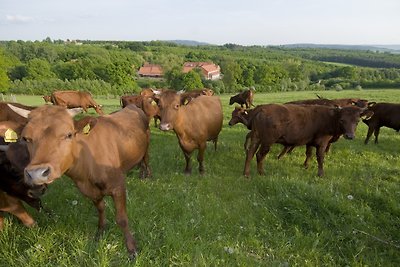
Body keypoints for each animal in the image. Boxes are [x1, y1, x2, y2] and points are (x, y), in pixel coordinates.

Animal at [10, 104, 153, 260]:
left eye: (69, 134)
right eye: (26, 138)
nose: (36, 173)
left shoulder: (118, 186)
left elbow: (121, 219)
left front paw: (132, 249)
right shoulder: (90, 191)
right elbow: (101, 208)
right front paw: (100, 232)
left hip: (146, 147)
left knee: (145, 161)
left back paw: (146, 175)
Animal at [244, 104, 372, 178]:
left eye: (357, 121)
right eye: (342, 120)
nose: (350, 136)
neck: (330, 118)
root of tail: (261, 108)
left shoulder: (310, 141)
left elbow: (309, 153)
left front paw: (306, 166)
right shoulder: (322, 142)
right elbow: (320, 157)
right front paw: (321, 174)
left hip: (256, 137)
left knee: (250, 153)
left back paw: (246, 173)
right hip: (267, 140)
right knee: (260, 155)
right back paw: (261, 172)